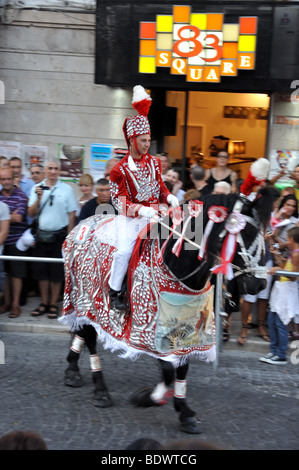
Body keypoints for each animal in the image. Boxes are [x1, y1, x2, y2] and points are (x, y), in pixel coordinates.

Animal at [59, 186, 280, 434]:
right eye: (246, 234)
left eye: (263, 234)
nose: (259, 284)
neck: (176, 263)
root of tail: (81, 225)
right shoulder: (153, 329)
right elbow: (167, 370)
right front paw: (149, 397)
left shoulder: (188, 330)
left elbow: (181, 368)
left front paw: (184, 413)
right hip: (86, 299)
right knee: (88, 336)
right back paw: (100, 390)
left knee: (81, 331)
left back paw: (72, 370)